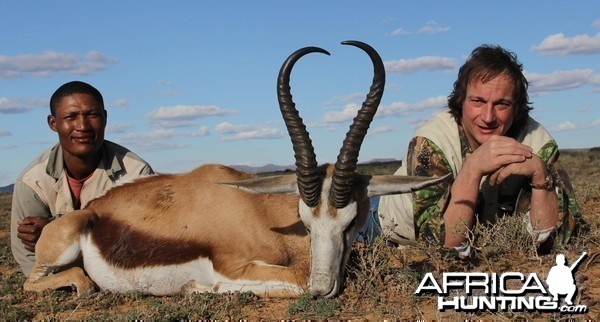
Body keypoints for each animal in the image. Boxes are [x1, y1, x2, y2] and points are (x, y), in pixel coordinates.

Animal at [23, 41, 446, 300]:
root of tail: (93, 212)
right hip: (56, 255)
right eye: (306, 222)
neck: (260, 214)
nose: (322, 289)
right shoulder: (234, 268)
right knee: (41, 281)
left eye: (352, 222)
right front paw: (196, 289)